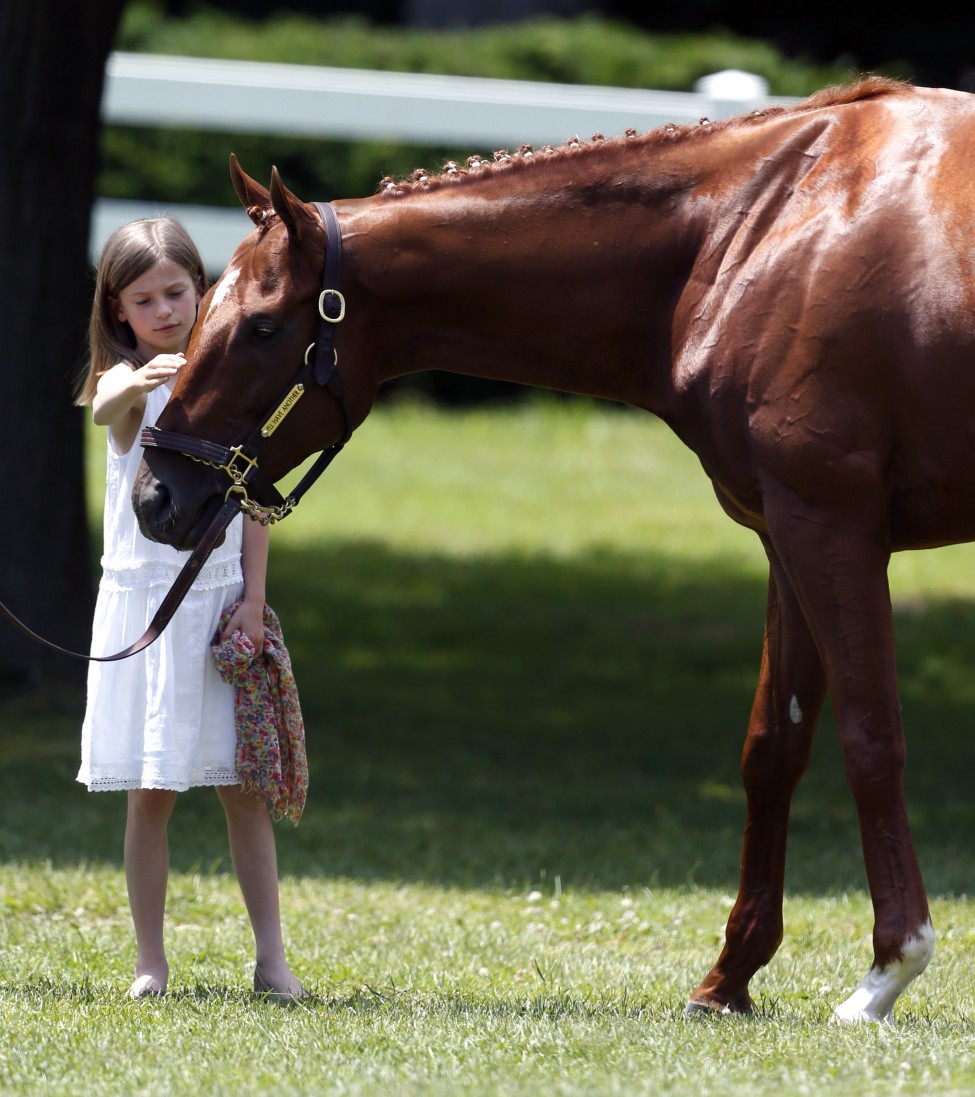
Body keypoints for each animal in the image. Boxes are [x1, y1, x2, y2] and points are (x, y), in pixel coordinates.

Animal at [131, 75, 973, 1018]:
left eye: (263, 327)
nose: (156, 496)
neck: (761, 228)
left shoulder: (831, 524)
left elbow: (870, 739)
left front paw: (887, 970)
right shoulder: (784, 534)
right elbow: (773, 748)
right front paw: (728, 978)